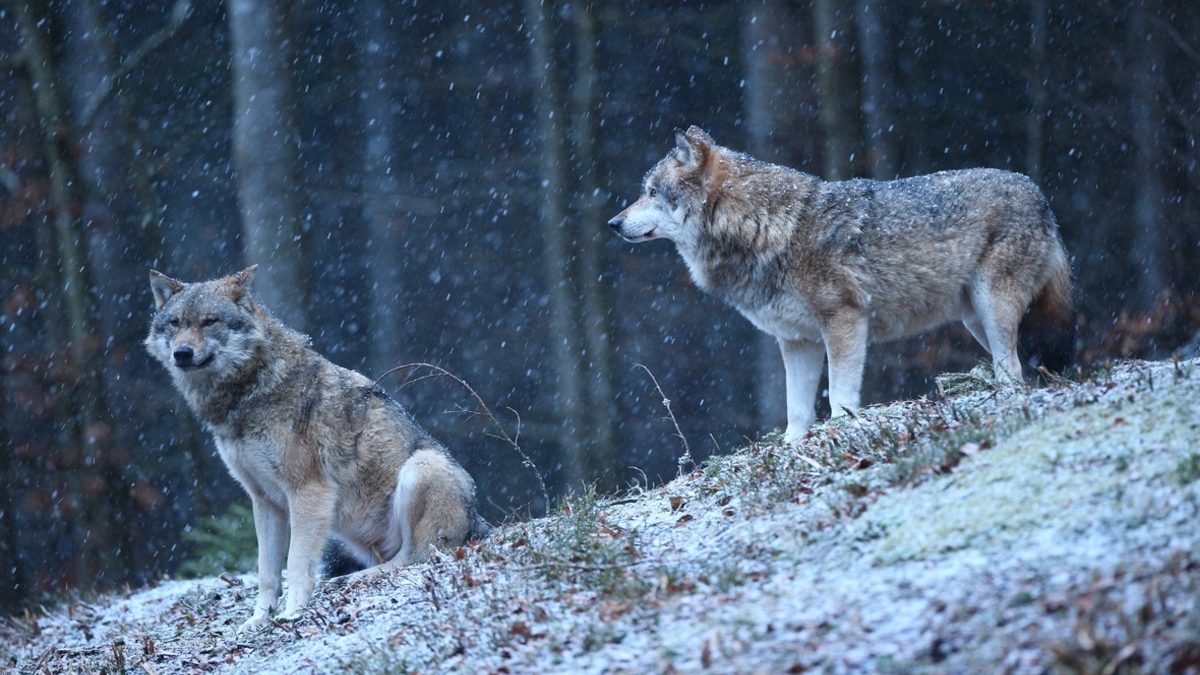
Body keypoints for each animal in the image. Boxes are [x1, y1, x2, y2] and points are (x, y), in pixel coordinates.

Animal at [147, 265, 484, 629]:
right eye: (175, 323)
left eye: (210, 321)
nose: (181, 353)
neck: (250, 391)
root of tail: (478, 522)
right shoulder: (264, 501)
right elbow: (267, 572)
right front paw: (259, 620)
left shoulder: (307, 491)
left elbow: (296, 563)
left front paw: (293, 613)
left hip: (421, 467)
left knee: (414, 558)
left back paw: (352, 579)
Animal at [614, 126, 1075, 441]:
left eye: (652, 192)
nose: (613, 223)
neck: (767, 227)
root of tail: (1042, 196)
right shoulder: (797, 341)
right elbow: (796, 410)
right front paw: (793, 446)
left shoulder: (845, 321)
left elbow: (840, 394)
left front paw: (842, 428)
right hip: (975, 320)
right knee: (1017, 368)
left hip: (992, 309)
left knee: (1013, 371)